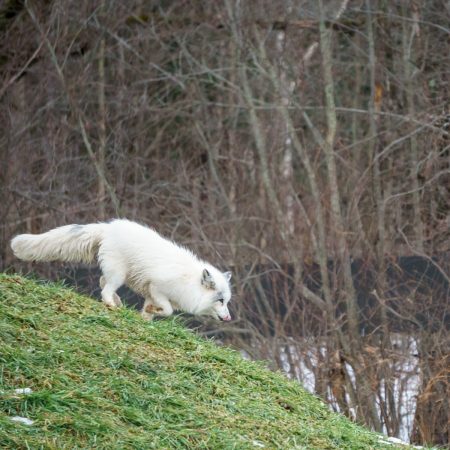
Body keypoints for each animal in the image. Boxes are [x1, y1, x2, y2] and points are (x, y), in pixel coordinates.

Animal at [10, 220, 232, 322]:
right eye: (220, 300)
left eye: (227, 302)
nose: (229, 318)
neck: (190, 283)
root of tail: (107, 227)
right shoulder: (157, 288)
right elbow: (168, 310)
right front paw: (155, 312)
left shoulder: (151, 294)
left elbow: (150, 312)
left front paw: (147, 319)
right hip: (119, 276)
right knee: (104, 290)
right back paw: (112, 305)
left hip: (116, 275)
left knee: (102, 283)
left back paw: (117, 303)